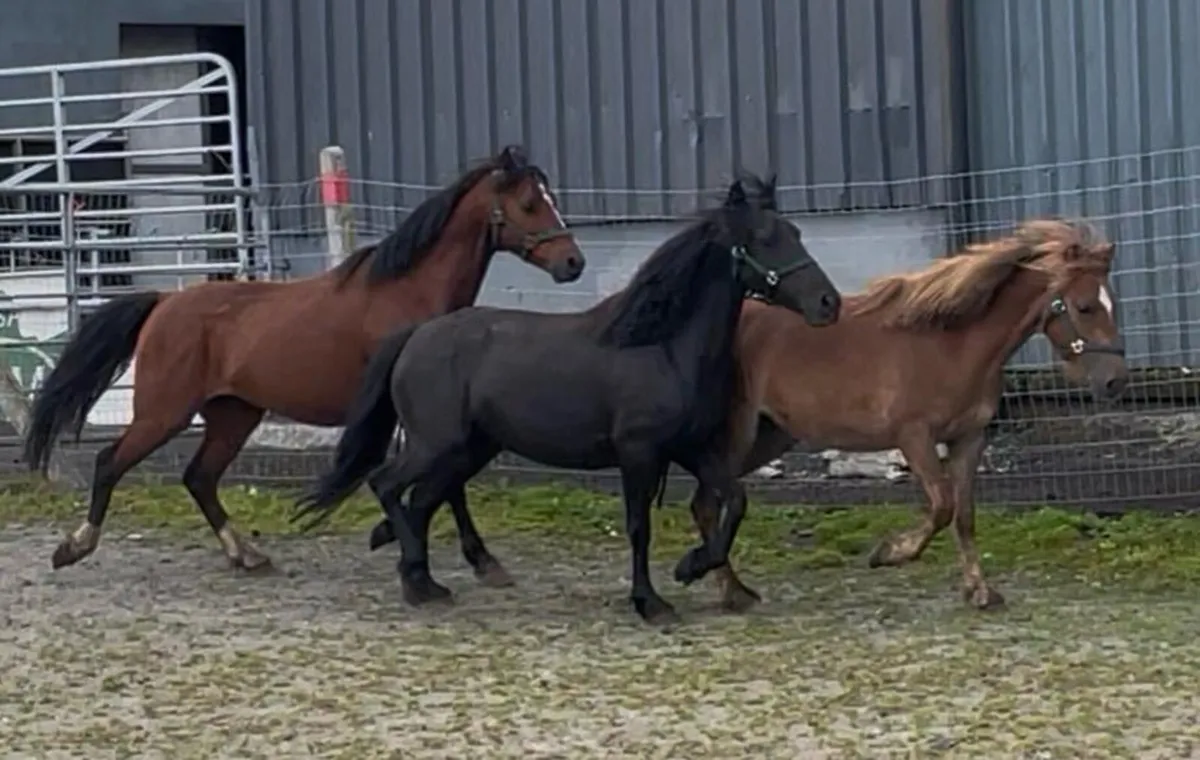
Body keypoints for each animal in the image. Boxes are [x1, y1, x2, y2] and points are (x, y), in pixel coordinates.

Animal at [23, 144, 586, 573]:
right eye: (530, 204)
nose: (573, 263)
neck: (408, 294)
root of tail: (164, 302)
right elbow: (447, 485)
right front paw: (457, 554)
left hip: (233, 414)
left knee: (199, 478)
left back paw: (245, 554)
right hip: (165, 413)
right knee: (110, 463)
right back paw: (74, 546)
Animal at [293, 174, 843, 624]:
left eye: (796, 233)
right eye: (764, 239)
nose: (828, 304)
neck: (661, 345)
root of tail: (416, 335)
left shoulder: (691, 449)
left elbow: (736, 500)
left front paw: (693, 569)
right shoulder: (639, 453)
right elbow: (639, 526)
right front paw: (651, 603)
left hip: (470, 448)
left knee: (423, 501)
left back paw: (426, 582)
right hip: (436, 444)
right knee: (388, 485)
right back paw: (414, 576)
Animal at [684, 218, 1127, 611]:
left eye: (1112, 304)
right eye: (1085, 307)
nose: (1114, 381)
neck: (952, 345)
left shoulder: (969, 439)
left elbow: (964, 516)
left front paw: (980, 592)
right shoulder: (915, 438)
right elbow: (942, 506)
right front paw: (890, 552)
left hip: (768, 435)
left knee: (705, 501)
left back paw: (730, 589)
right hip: (737, 433)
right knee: (707, 502)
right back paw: (728, 590)